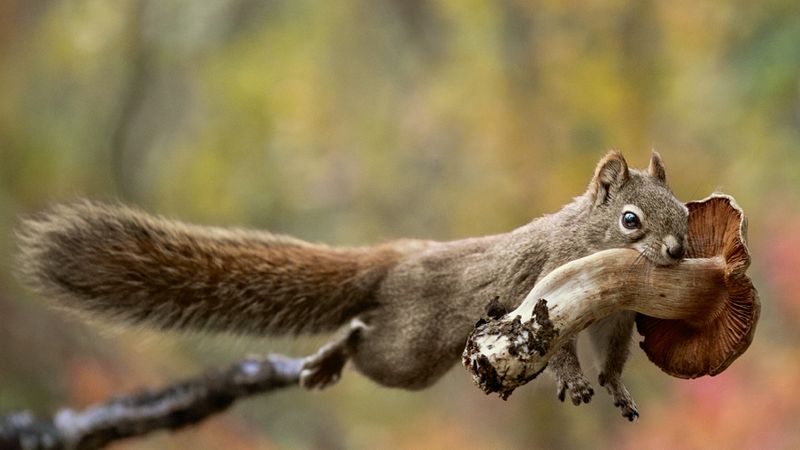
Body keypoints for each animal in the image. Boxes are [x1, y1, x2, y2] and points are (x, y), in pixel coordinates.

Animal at [16, 151, 688, 421]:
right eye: (630, 220)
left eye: (684, 212)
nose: (679, 251)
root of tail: (398, 258)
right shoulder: (550, 286)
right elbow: (561, 348)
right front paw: (573, 379)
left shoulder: (615, 319)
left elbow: (614, 357)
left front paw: (616, 385)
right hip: (411, 352)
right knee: (366, 340)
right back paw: (331, 355)